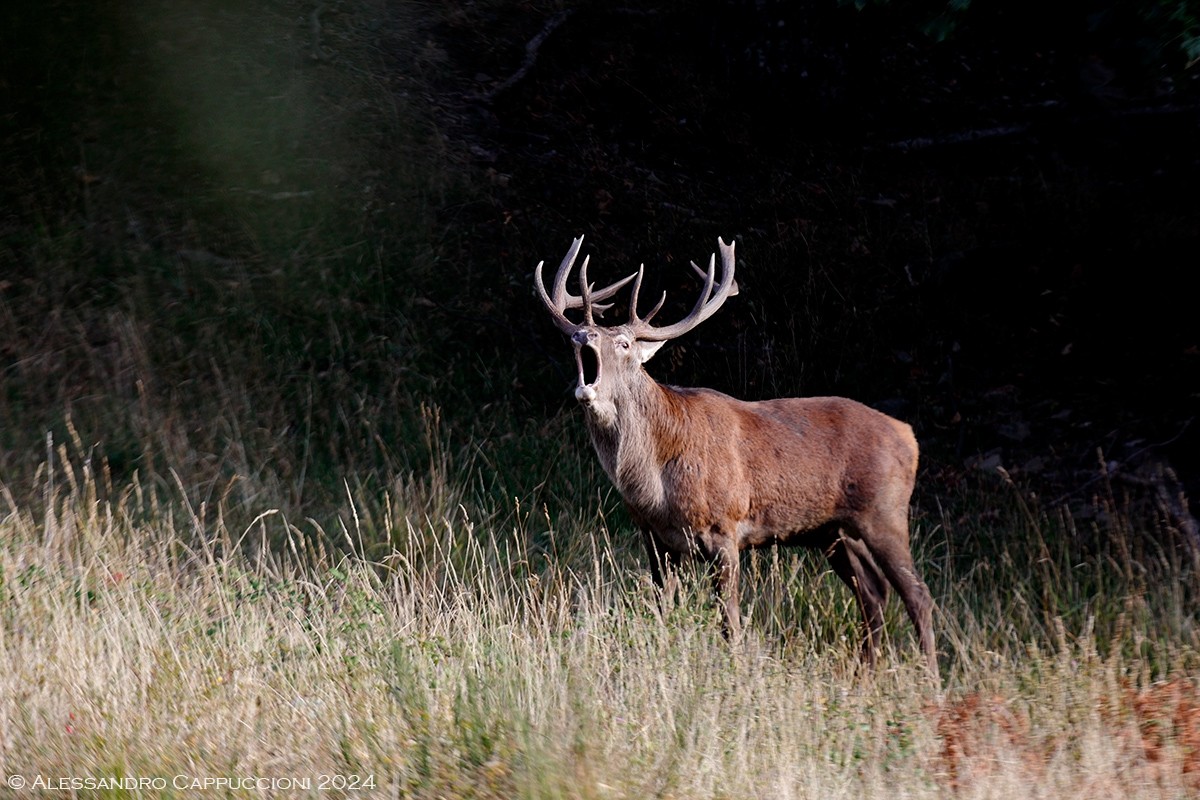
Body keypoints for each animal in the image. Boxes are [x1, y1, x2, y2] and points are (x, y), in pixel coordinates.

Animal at [535, 235, 936, 681]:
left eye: (623, 343)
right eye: (575, 334)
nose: (583, 336)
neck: (654, 486)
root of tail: (908, 436)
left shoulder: (724, 529)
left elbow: (729, 621)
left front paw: (735, 671)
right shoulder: (656, 539)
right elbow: (661, 610)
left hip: (884, 512)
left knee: (917, 594)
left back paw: (931, 680)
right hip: (834, 531)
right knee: (874, 592)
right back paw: (865, 674)